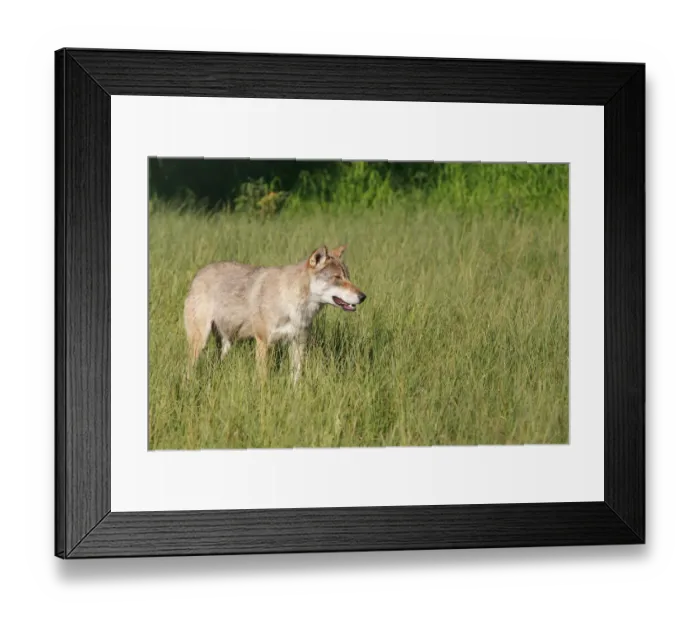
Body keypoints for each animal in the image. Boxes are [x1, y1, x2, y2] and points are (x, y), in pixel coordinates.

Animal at [184, 244, 366, 383]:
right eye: (337, 278)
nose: (363, 296)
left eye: (347, 277)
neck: (292, 304)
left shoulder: (298, 344)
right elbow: (263, 379)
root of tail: (198, 274)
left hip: (226, 343)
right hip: (200, 342)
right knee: (189, 369)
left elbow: (296, 377)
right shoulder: (264, 343)